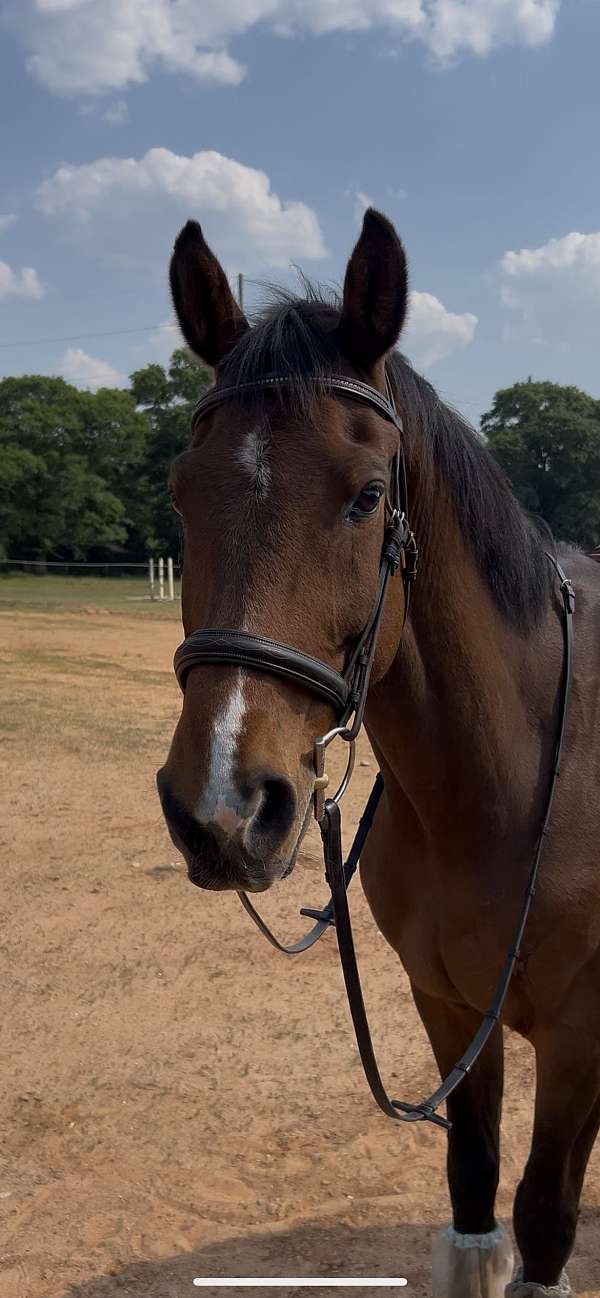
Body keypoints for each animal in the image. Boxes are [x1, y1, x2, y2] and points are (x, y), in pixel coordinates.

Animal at [157, 209, 600, 1298]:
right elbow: (476, 1182)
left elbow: (546, 1216)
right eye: (181, 493)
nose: (224, 807)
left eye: (366, 496)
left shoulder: (581, 1035)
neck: (505, 790)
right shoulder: (445, 1004)